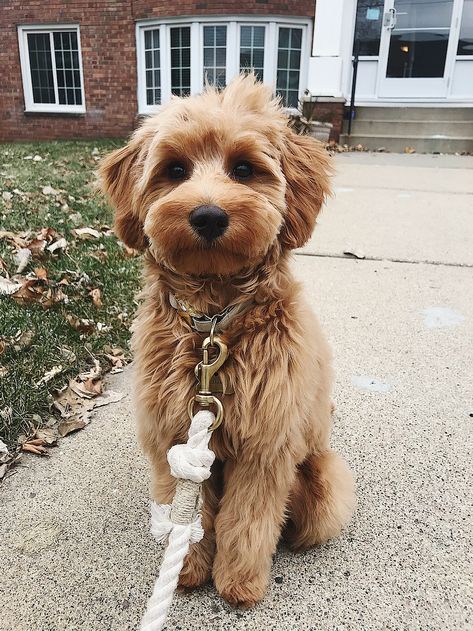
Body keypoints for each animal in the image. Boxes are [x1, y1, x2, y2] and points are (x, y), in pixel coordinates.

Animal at [99, 73, 354, 608]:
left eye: (243, 169)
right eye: (175, 170)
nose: (209, 216)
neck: (213, 323)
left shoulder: (264, 449)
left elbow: (249, 520)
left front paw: (239, 582)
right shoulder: (174, 438)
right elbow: (186, 513)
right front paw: (186, 570)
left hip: (322, 483)